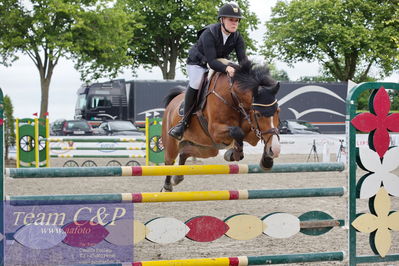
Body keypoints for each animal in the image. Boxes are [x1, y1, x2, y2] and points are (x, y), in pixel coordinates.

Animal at [161, 60, 280, 191]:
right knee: (169, 162)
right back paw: (167, 186)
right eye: (258, 114)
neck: (233, 97)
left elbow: (261, 136)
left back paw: (177, 177)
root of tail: (172, 102)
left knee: (184, 153)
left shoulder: (252, 131)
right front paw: (234, 153)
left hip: (207, 148)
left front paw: (267, 160)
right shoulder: (215, 131)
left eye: (278, 111)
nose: (276, 150)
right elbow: (237, 131)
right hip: (172, 144)